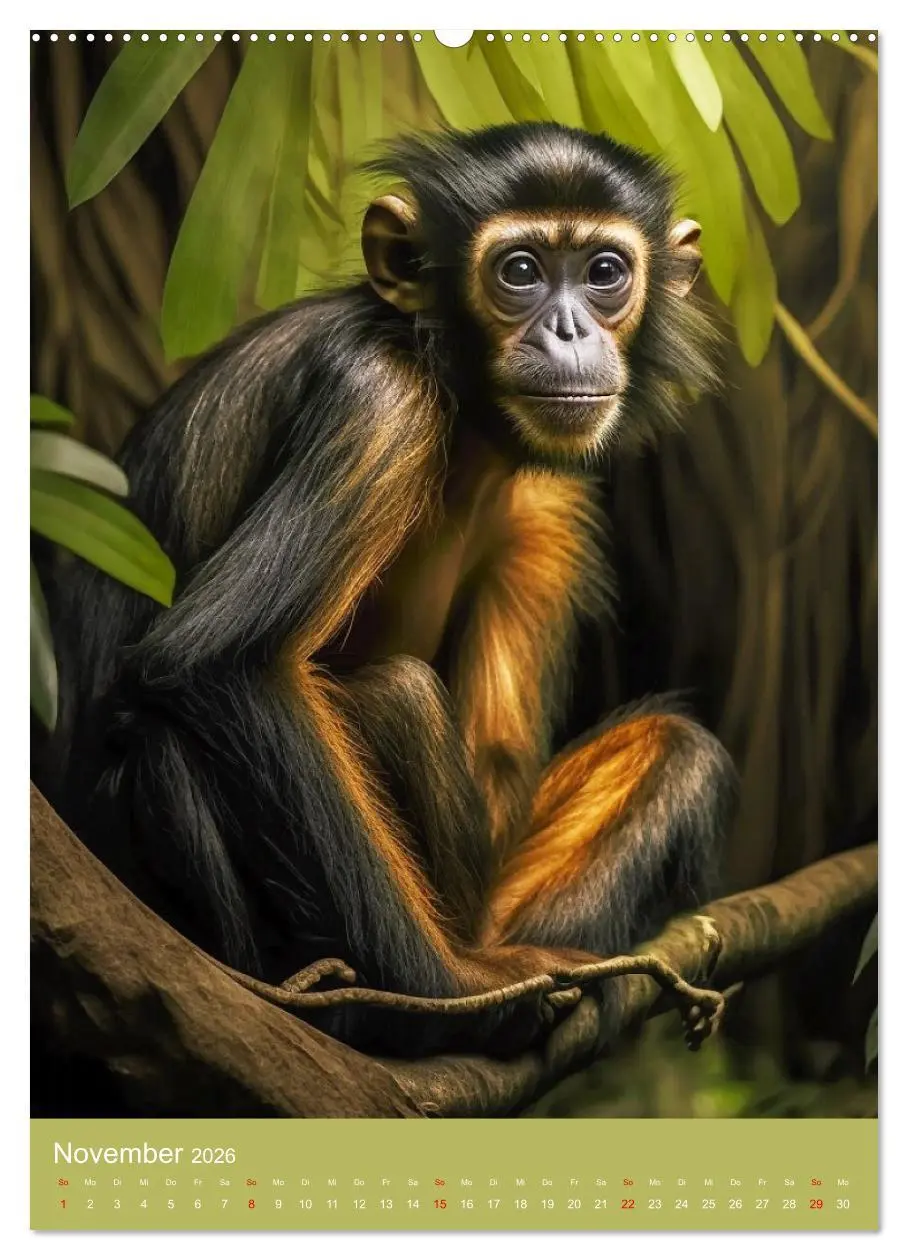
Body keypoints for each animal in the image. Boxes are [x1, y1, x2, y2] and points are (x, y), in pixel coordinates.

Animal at [40, 123, 737, 1056]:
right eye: (519, 270)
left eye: (603, 271)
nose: (567, 328)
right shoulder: (379, 403)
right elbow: (225, 661)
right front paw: (452, 990)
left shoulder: (548, 501)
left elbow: (501, 766)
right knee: (204, 739)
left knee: (675, 752)